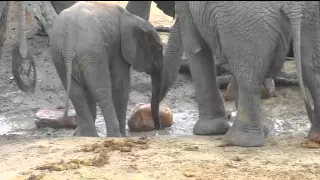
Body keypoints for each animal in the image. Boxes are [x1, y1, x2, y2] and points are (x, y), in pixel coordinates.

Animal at [51, 1, 165, 137]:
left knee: (77, 93)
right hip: (93, 53)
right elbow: (121, 86)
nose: (158, 129)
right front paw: (124, 137)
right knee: (101, 92)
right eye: (159, 49)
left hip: (60, 56)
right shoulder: (118, 49)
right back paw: (114, 136)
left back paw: (87, 136)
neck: (132, 17)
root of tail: (68, 42)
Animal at [159, 1, 316, 148]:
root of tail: (293, 6)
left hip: (247, 25)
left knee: (248, 78)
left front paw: (209, 131)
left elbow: (196, 48)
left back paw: (236, 141)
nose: (159, 123)